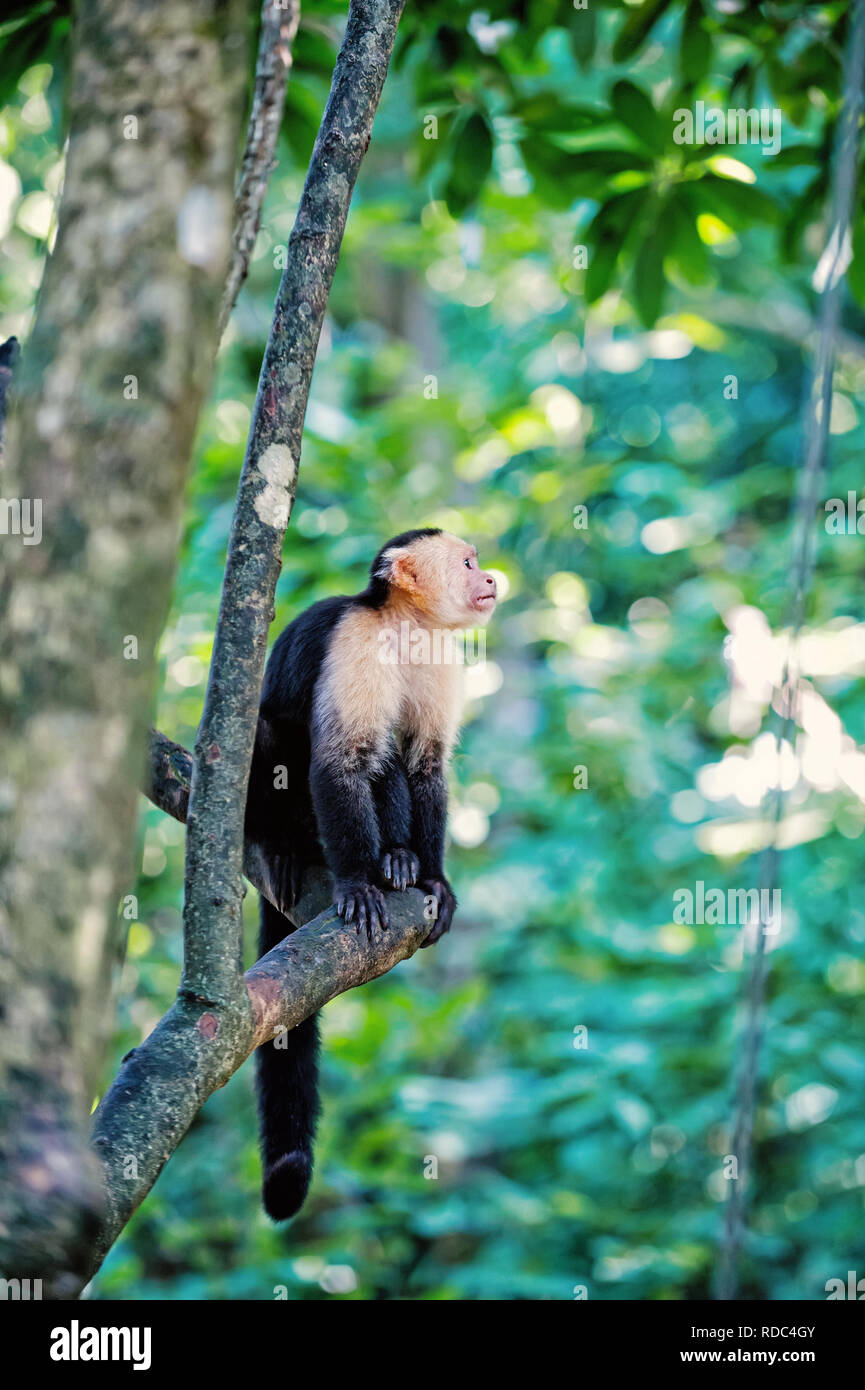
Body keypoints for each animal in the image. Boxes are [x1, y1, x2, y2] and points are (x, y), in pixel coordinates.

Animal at [244, 528, 497, 1220]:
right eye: (467, 562)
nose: (491, 578)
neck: (407, 627)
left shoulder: (441, 658)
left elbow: (427, 764)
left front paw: (432, 879)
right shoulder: (355, 642)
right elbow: (341, 761)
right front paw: (358, 883)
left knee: (393, 758)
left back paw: (399, 860)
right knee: (276, 732)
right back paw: (284, 849)